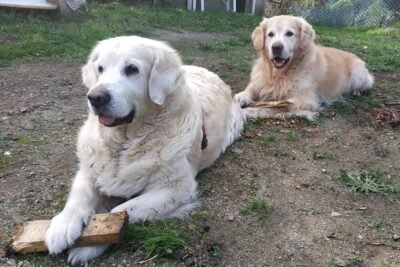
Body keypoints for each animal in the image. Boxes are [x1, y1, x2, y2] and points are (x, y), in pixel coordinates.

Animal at [43, 35, 244, 264]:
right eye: (100, 68)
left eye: (132, 69)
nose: (95, 97)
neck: (124, 142)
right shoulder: (90, 168)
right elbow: (79, 196)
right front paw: (62, 226)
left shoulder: (176, 188)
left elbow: (121, 212)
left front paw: (90, 244)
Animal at [233, 14, 374, 119]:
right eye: (270, 34)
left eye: (289, 33)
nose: (276, 47)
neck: (281, 74)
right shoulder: (261, 81)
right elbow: (251, 88)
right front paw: (241, 96)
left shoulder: (305, 100)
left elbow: (273, 107)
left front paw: (246, 112)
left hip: (358, 74)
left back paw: (356, 91)